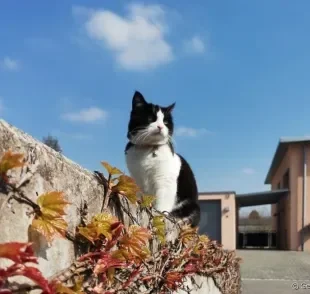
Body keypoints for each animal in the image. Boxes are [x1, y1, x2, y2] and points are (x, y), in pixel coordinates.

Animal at [124, 90, 200, 226]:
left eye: (165, 122)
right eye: (150, 118)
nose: (160, 126)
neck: (148, 150)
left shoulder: (165, 182)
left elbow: (161, 206)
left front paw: (158, 217)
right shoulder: (137, 180)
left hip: (192, 207)